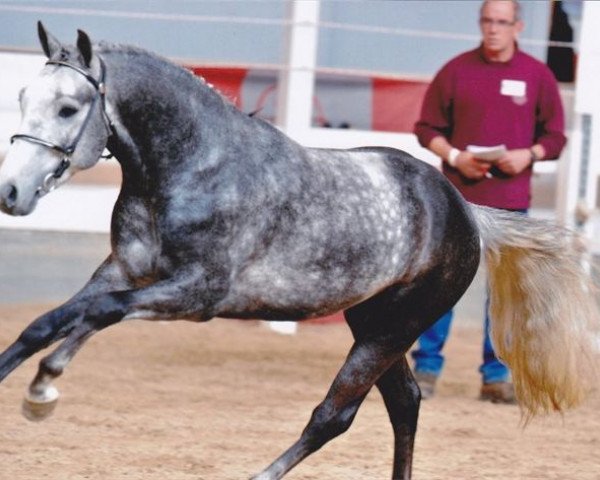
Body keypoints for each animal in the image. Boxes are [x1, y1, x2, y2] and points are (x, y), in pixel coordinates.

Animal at [0, 24, 596, 480]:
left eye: (68, 107)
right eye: (24, 98)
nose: (11, 192)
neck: (196, 166)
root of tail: (465, 210)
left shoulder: (198, 294)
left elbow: (99, 314)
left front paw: (44, 388)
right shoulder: (124, 268)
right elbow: (50, 321)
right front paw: (27, 380)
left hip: (388, 331)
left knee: (335, 414)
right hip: (373, 321)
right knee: (405, 403)